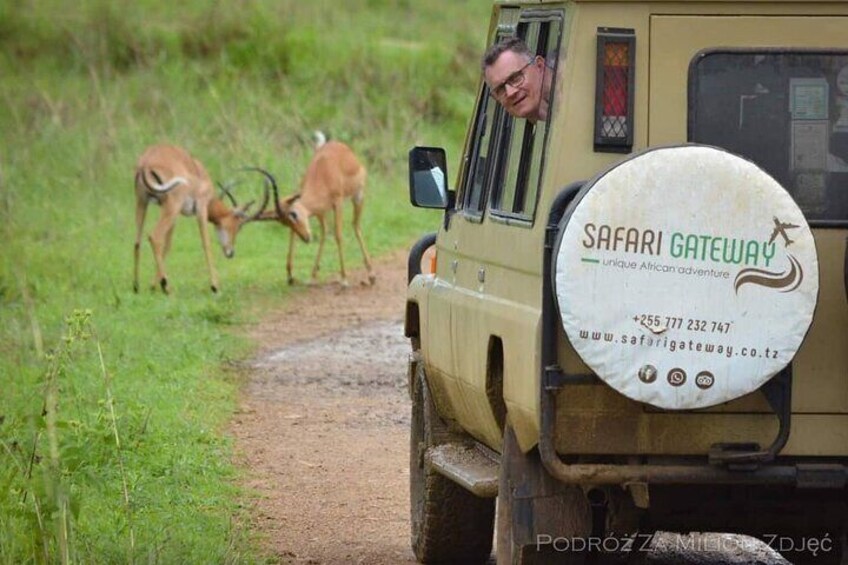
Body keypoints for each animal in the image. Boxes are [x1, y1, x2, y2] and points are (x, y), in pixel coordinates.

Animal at [133, 143, 268, 294]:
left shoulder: (175, 213)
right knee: (154, 236)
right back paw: (166, 286)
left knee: (137, 242)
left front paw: (152, 285)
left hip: (143, 202)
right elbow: (206, 243)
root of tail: (145, 163)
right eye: (238, 225)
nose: (231, 252)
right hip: (171, 206)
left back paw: (136, 286)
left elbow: (168, 245)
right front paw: (215, 286)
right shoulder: (201, 208)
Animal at [248, 134, 374, 286]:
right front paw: (291, 276)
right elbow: (300, 235)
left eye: (293, 214)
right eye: (285, 223)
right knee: (325, 233)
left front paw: (344, 279)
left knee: (356, 226)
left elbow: (338, 236)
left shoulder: (337, 203)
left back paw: (370, 274)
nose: (306, 238)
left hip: (358, 196)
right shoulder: (317, 210)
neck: (323, 173)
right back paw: (314, 275)